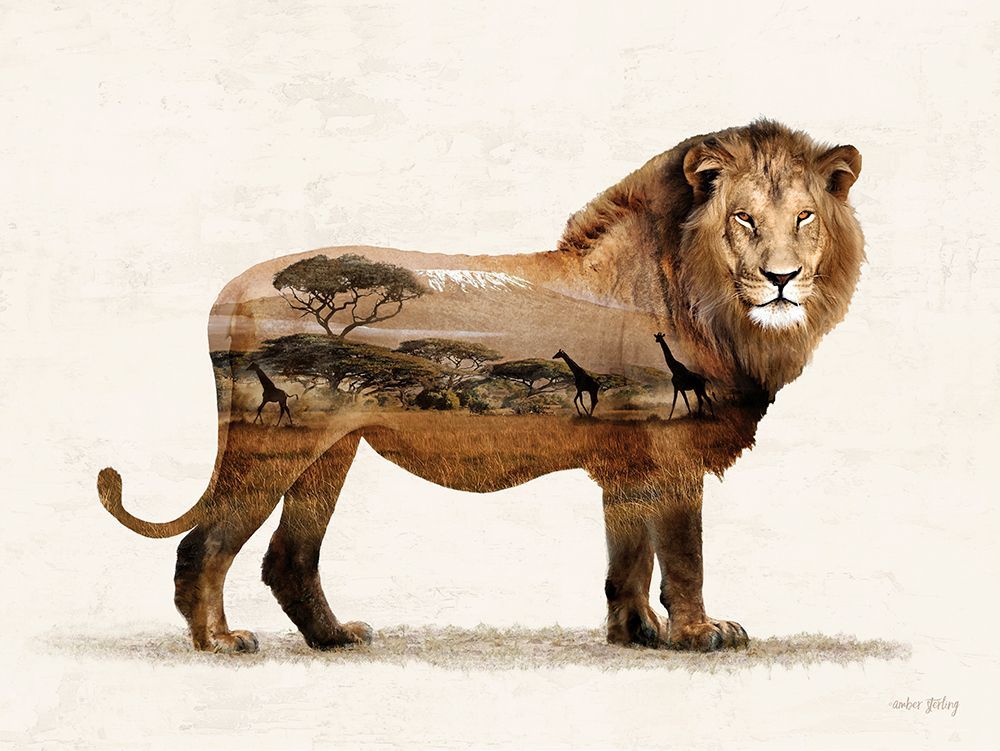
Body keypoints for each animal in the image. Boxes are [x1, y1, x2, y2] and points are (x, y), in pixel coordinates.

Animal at [97, 119, 864, 654]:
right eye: (744, 218)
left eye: (804, 217)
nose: (783, 278)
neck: (716, 304)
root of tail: (229, 290)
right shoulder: (672, 449)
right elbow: (683, 554)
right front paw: (700, 632)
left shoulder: (627, 458)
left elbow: (628, 555)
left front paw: (636, 631)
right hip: (271, 443)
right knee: (205, 545)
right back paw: (220, 643)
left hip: (328, 449)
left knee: (289, 558)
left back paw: (335, 638)